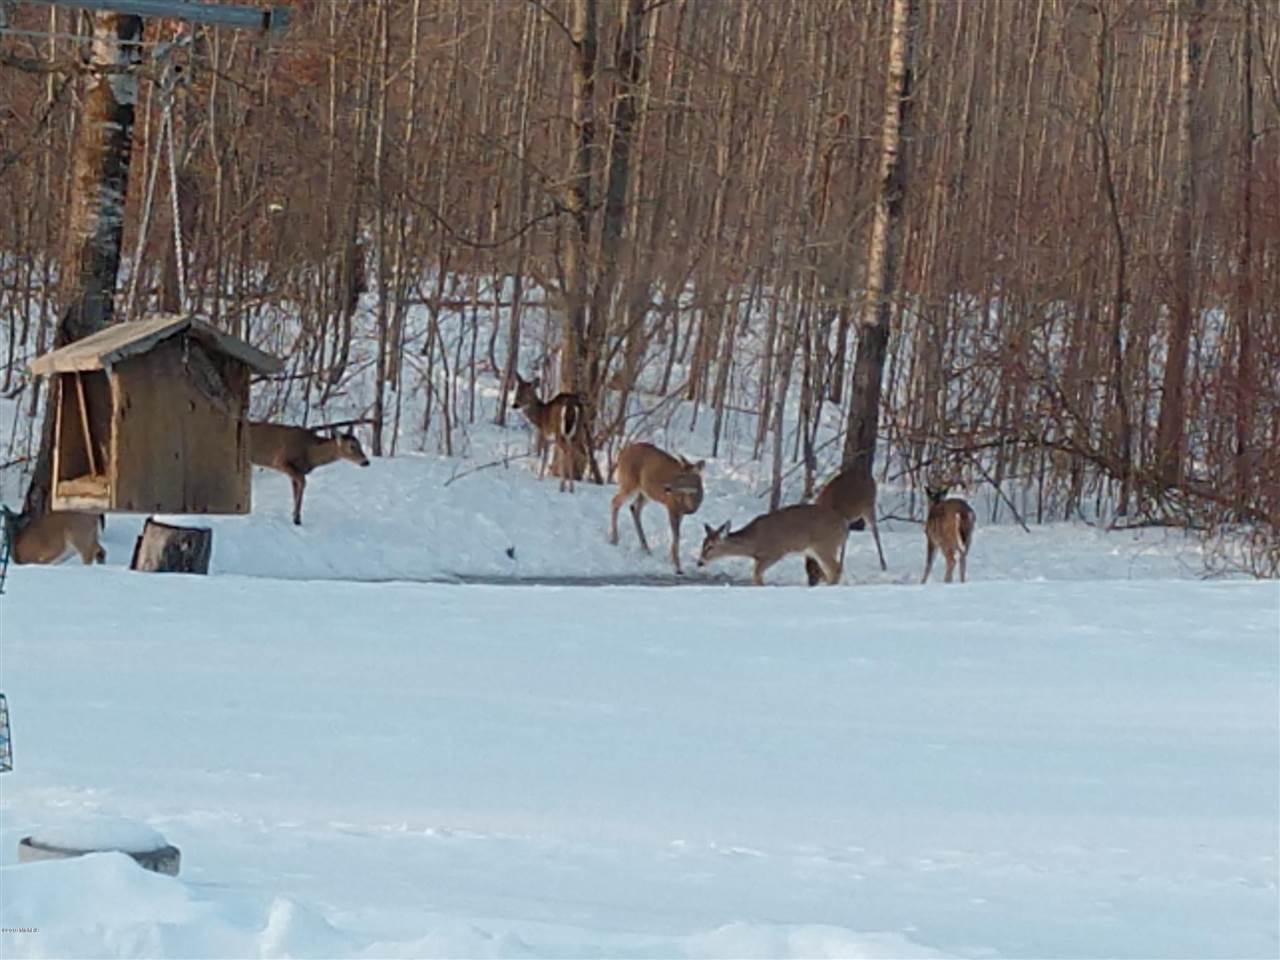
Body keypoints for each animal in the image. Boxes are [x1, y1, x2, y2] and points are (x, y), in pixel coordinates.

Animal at [609, 442, 705, 574]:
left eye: (684, 476)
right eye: (678, 474)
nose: (667, 487)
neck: (691, 503)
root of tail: (622, 452)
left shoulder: (680, 512)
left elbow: (676, 535)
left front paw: (671, 559)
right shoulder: (671, 505)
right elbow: (677, 536)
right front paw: (678, 567)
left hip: (645, 491)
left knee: (634, 507)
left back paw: (645, 548)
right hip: (629, 481)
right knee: (615, 501)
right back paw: (615, 539)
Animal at [697, 503, 846, 586]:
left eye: (710, 546)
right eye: (703, 544)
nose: (700, 562)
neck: (754, 543)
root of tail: (843, 525)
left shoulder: (774, 552)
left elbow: (756, 575)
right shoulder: (759, 558)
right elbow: (755, 575)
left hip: (825, 545)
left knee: (836, 568)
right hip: (816, 550)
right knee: (829, 571)